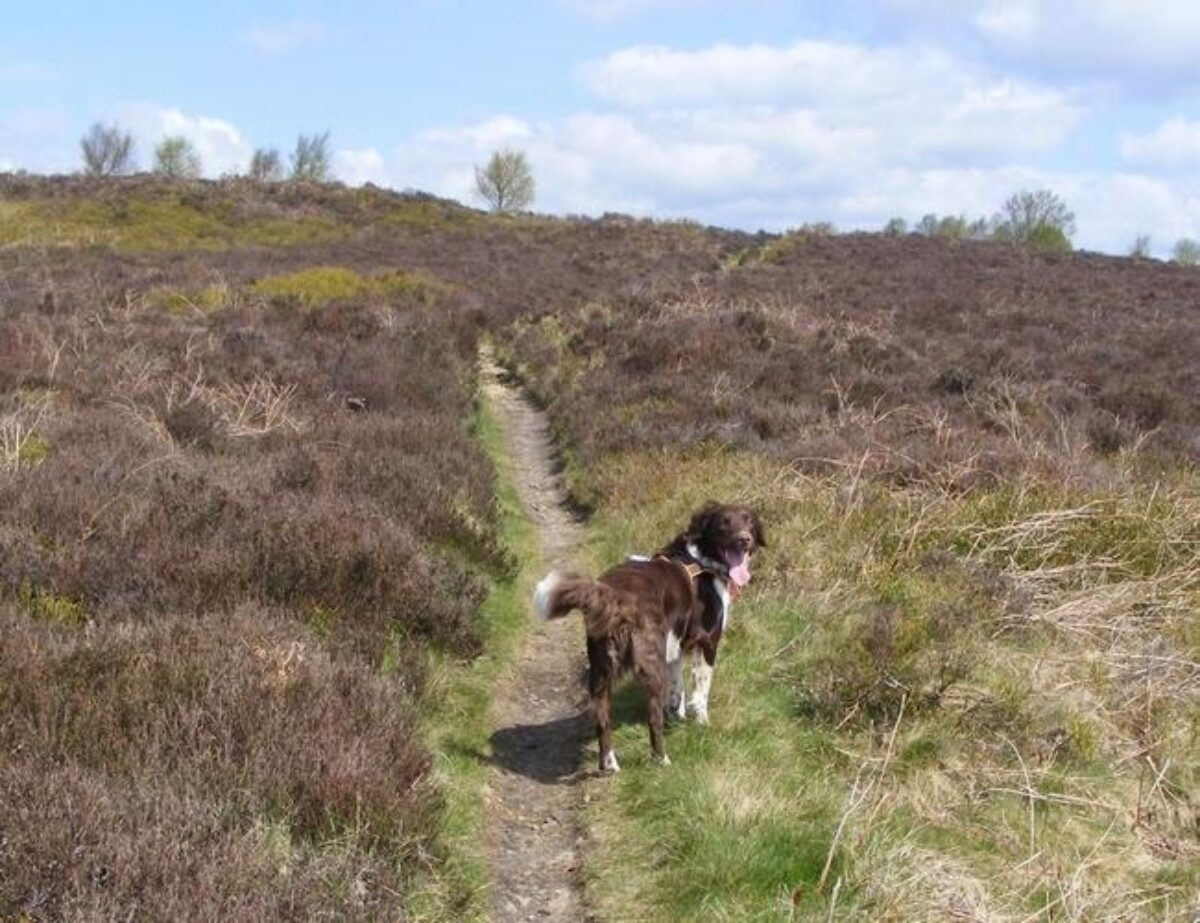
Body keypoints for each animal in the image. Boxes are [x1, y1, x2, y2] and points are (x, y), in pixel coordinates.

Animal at [532, 504, 763, 768]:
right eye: (724, 522)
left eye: (748, 521)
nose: (745, 539)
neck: (701, 558)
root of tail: (612, 597)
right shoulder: (707, 642)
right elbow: (701, 691)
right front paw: (702, 723)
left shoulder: (674, 646)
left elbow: (677, 690)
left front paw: (679, 718)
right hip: (651, 664)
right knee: (653, 719)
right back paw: (662, 760)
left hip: (601, 669)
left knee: (602, 719)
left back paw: (609, 764)